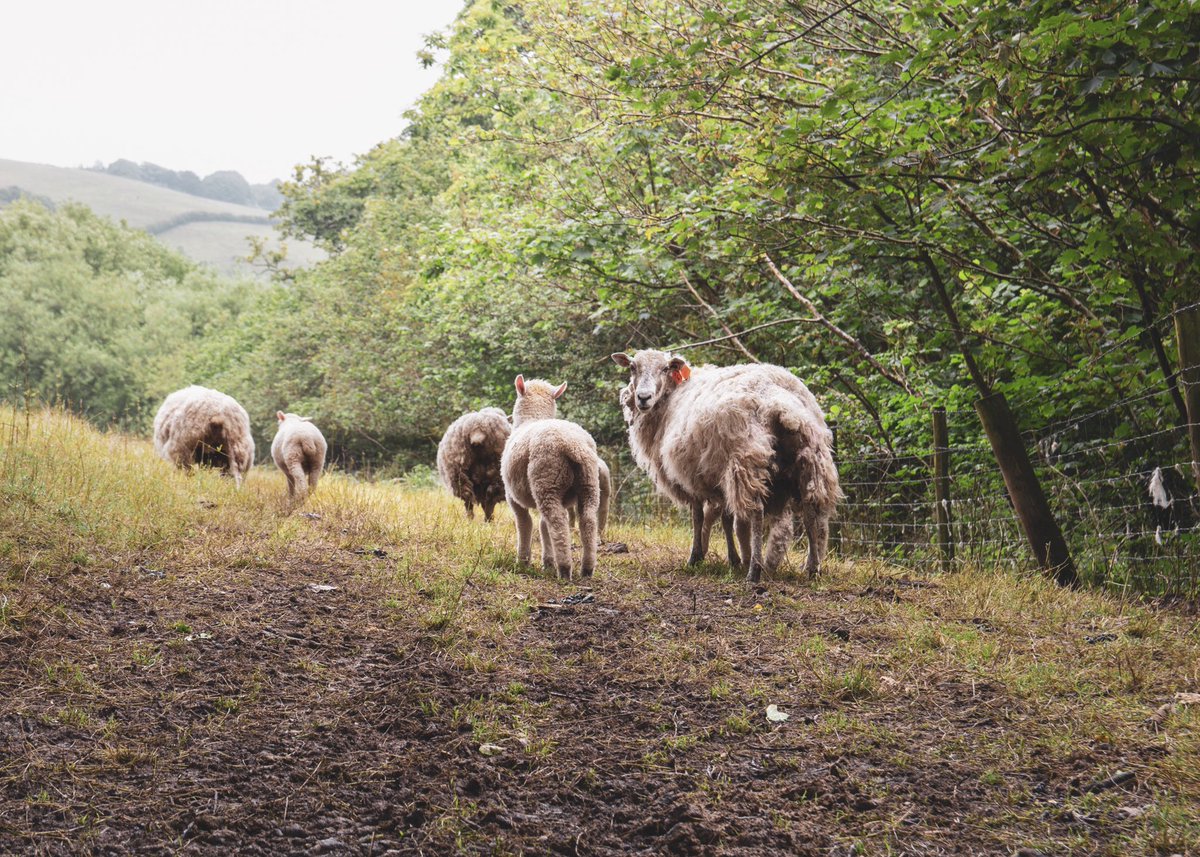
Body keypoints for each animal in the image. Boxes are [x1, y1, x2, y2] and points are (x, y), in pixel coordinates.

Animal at [500, 375, 603, 579]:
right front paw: (547, 562)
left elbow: (525, 524)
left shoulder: (512, 496)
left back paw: (564, 568)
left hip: (546, 480)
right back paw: (587, 569)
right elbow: (542, 526)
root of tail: (573, 445)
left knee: (557, 522)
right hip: (588, 483)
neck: (532, 418)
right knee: (587, 520)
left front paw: (522, 561)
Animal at [612, 350, 840, 582]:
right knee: (810, 511)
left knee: (757, 513)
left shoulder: (691, 475)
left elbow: (698, 517)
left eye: (665, 368)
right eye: (632, 367)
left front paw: (696, 557)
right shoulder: (717, 477)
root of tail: (781, 402)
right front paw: (733, 559)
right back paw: (812, 568)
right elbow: (726, 519)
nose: (643, 398)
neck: (671, 396)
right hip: (809, 460)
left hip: (746, 461)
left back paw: (754, 571)